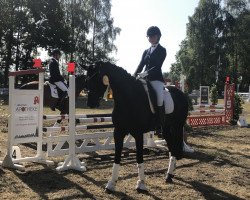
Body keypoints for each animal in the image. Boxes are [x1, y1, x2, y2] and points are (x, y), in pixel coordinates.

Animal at [84, 61, 188, 192]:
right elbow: (117, 157)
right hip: (166, 129)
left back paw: (170, 174)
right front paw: (111, 184)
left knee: (174, 147)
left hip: (177, 126)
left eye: (96, 78)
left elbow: (139, 157)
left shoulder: (138, 133)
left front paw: (141, 184)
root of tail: (181, 93)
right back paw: (170, 174)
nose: (90, 103)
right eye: (87, 80)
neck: (128, 98)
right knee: (171, 148)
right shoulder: (118, 132)